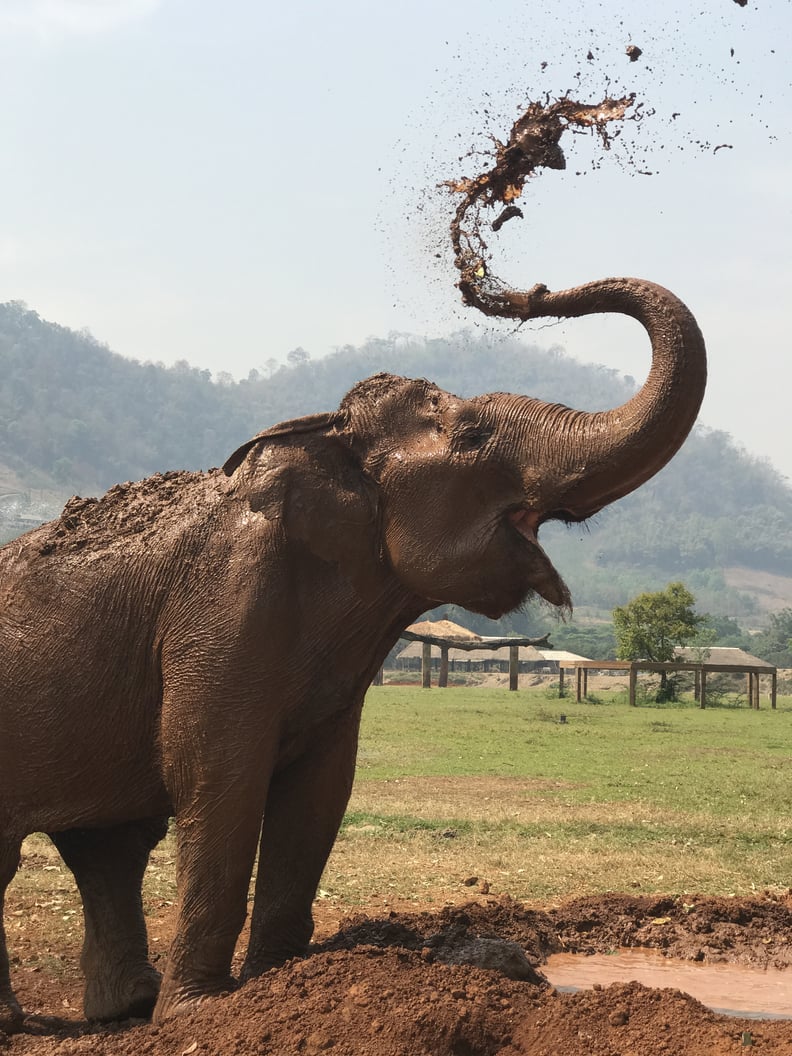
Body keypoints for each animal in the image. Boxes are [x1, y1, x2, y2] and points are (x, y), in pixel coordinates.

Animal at [0, 276, 705, 1026]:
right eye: (471, 434)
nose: (518, 292)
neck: (322, 438)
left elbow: (321, 790)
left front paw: (279, 985)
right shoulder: (222, 605)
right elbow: (214, 773)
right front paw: (198, 1015)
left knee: (109, 847)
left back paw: (125, 1007)